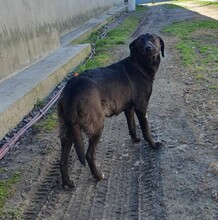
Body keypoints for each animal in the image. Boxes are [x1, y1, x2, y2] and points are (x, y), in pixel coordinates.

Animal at [57, 32, 164, 187]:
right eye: (140, 42)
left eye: (153, 38)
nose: (148, 48)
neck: (139, 64)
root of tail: (72, 90)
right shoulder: (141, 107)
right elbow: (146, 130)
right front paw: (154, 145)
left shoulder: (129, 109)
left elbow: (132, 126)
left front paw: (135, 139)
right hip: (97, 126)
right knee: (89, 155)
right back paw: (98, 176)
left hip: (68, 131)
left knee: (62, 160)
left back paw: (68, 183)